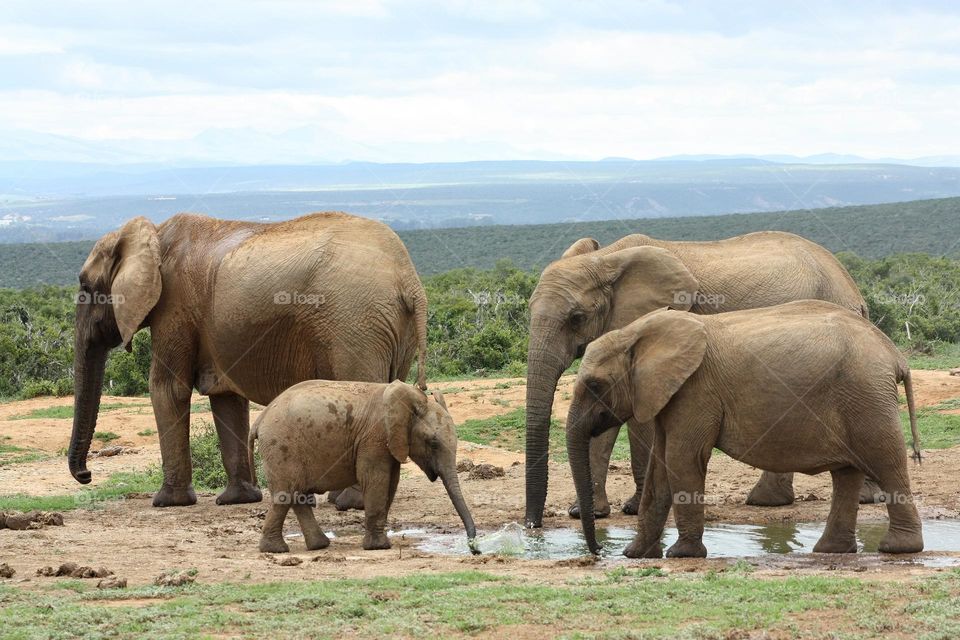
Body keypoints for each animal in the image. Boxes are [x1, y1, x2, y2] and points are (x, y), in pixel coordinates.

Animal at [68, 212, 428, 508]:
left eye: (85, 286)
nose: (86, 475)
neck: (151, 234)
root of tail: (409, 280)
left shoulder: (174, 307)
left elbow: (167, 389)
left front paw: (167, 502)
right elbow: (226, 398)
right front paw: (238, 499)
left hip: (354, 322)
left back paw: (350, 503)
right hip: (390, 328)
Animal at [249, 380, 478, 556]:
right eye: (433, 443)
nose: (475, 549)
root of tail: (261, 418)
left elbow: (391, 483)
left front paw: (378, 543)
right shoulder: (375, 438)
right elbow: (376, 480)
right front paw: (379, 547)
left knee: (298, 494)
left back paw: (319, 545)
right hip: (281, 446)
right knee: (285, 493)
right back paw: (276, 550)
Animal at [524, 229, 872, 524]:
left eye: (576, 318)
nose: (532, 525)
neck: (607, 259)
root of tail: (852, 287)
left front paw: (634, 508)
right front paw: (587, 513)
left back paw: (860, 499)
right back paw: (771, 501)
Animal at [568, 300, 928, 556]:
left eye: (596, 385)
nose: (599, 550)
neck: (637, 333)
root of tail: (895, 355)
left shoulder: (696, 391)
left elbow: (683, 460)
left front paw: (682, 554)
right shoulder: (668, 395)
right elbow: (662, 467)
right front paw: (636, 555)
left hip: (868, 399)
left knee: (887, 462)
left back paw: (897, 549)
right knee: (846, 474)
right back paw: (831, 551)